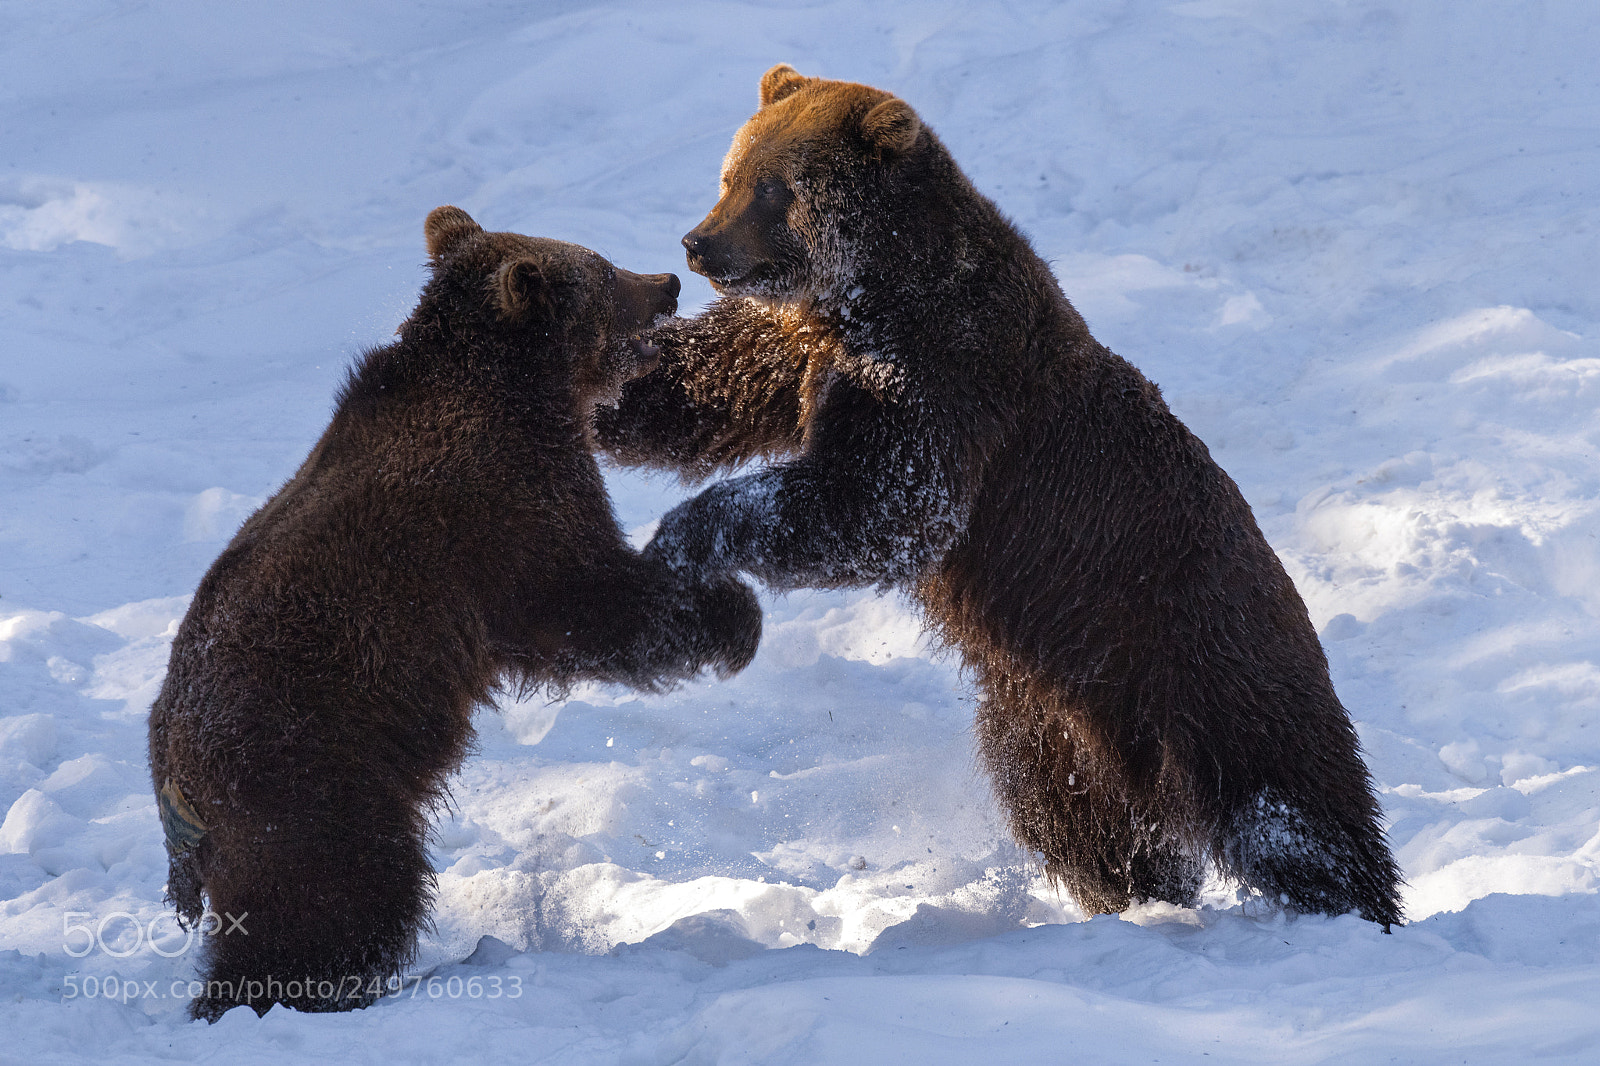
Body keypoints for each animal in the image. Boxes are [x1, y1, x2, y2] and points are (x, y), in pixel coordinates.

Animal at [147, 206, 763, 1021]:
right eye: (603, 271)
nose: (665, 281)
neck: (524, 391)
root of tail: (173, 781)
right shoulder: (500, 519)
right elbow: (586, 601)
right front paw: (733, 614)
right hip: (311, 776)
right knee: (342, 896)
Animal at [594, 65, 1404, 928]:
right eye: (733, 172)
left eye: (775, 189)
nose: (699, 242)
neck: (871, 290)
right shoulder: (800, 349)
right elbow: (698, 384)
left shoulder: (947, 374)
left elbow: (885, 503)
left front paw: (685, 532)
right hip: (1047, 718)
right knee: (1083, 825)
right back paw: (1134, 900)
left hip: (1205, 655)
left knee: (1286, 805)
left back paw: (1352, 906)